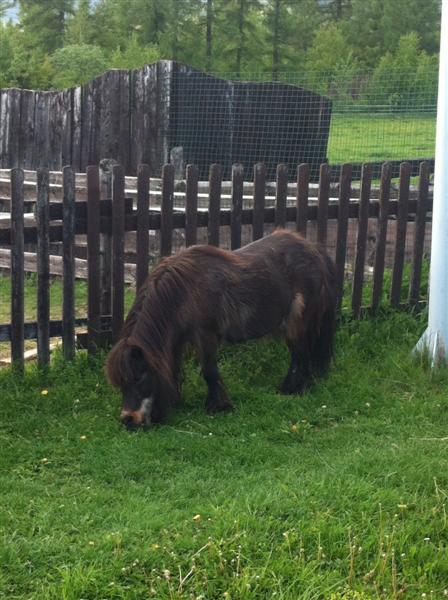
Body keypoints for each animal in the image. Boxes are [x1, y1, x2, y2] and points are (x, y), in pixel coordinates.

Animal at [106, 229, 337, 430]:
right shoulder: (177, 341)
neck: (184, 291)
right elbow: (173, 370)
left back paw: (291, 389)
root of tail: (314, 249)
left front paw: (218, 406)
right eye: (119, 383)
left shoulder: (206, 334)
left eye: (139, 377)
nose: (128, 419)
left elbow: (210, 371)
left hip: (296, 321)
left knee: (299, 354)